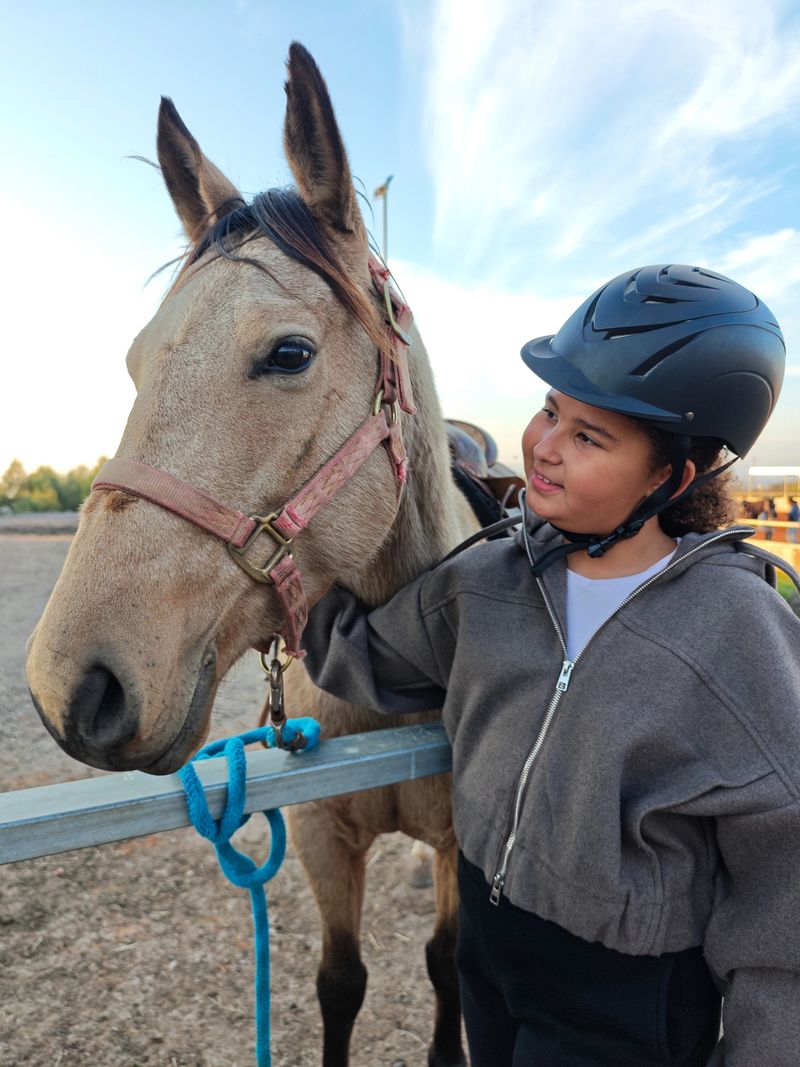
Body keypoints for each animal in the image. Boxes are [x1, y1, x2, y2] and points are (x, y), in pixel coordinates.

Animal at [26, 43, 479, 1067]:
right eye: (134, 362)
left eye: (289, 353)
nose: (70, 685)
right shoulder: (316, 833)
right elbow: (341, 983)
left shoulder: (458, 846)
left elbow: (447, 965)